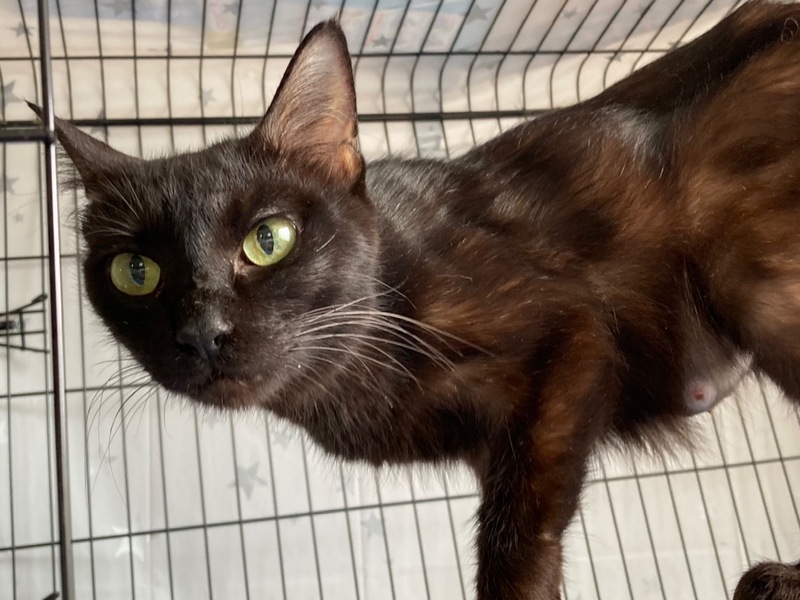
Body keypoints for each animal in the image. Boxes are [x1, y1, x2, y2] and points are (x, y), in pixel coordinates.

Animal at [37, 1, 800, 598]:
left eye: (269, 239)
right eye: (136, 272)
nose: (201, 333)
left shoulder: (569, 335)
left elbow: (516, 535)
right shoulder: (501, 445)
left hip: (751, 269)